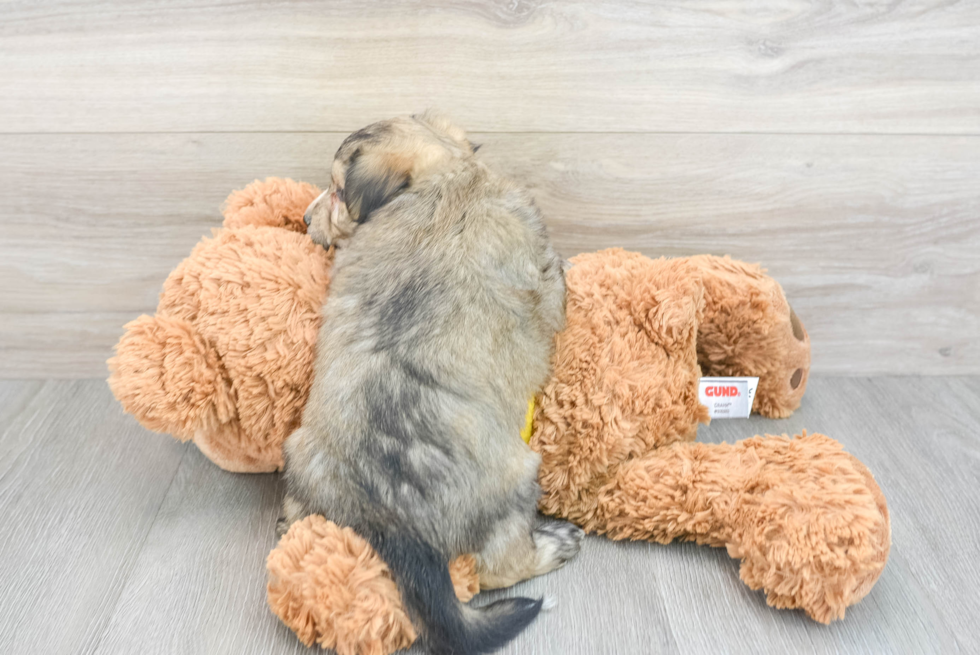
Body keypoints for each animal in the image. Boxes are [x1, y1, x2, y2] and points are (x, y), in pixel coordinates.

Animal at [276, 114, 580, 655]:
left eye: (337, 192)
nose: (307, 221)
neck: (448, 177)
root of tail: (387, 519)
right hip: (519, 479)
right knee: (497, 566)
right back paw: (553, 545)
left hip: (301, 472)